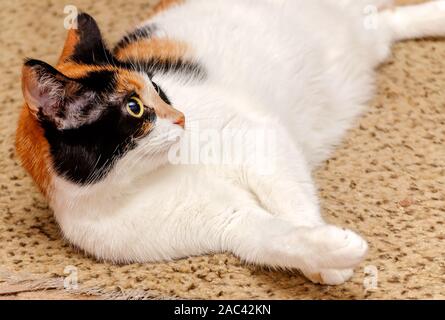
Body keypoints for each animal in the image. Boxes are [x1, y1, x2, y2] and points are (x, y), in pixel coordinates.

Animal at [15, 0, 444, 284]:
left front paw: (327, 252)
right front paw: (328, 255)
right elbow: (275, 238)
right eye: (135, 108)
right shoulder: (229, 223)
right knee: (388, 23)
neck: (149, 176)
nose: (181, 117)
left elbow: (293, 201)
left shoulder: (259, 140)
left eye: (158, 88)